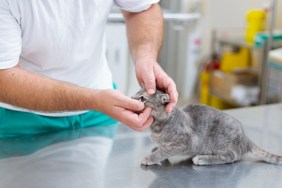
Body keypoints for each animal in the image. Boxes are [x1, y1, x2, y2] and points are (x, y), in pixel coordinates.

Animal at [132, 87, 282, 165]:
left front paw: (151, 158)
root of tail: (246, 138)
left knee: (230, 157)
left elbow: (162, 152)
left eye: (143, 98)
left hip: (221, 141)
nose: (132, 98)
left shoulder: (182, 143)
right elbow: (162, 147)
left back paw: (202, 158)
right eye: (136, 92)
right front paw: (157, 147)